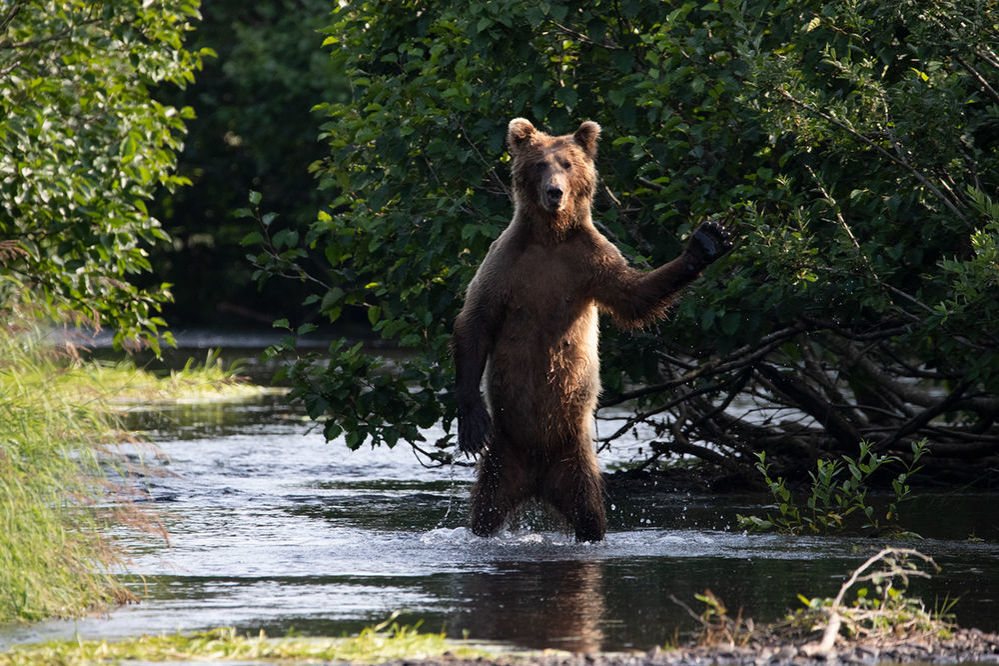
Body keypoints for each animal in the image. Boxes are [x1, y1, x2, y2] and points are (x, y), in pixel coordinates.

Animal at [452, 118, 728, 540]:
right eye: (540, 164)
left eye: (567, 164)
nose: (554, 191)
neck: (551, 237)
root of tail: (536, 479)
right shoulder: (505, 263)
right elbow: (476, 320)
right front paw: (472, 422)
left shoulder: (590, 260)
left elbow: (633, 295)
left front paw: (706, 242)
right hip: (504, 455)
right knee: (485, 510)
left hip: (574, 459)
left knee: (589, 513)